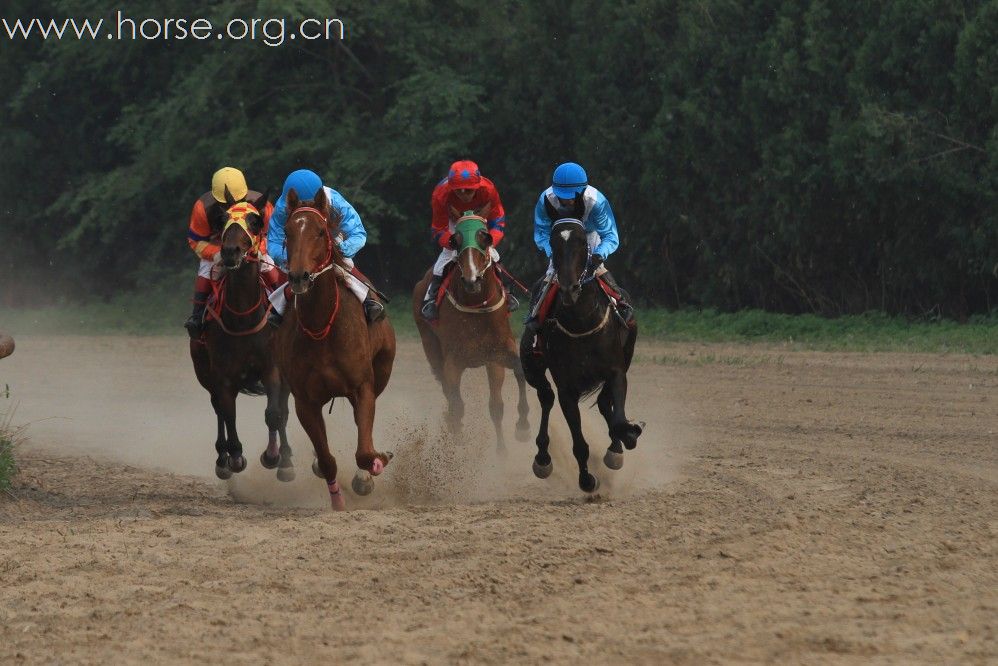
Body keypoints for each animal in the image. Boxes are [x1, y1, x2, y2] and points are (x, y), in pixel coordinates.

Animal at [189, 195, 294, 480]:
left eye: (255, 221)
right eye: (223, 219)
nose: (230, 252)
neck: (243, 316)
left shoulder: (272, 368)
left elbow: (274, 413)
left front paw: (276, 458)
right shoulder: (223, 375)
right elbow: (229, 413)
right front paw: (234, 456)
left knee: (282, 409)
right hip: (204, 371)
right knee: (218, 408)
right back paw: (222, 458)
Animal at [276, 185, 400, 508]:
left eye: (321, 231)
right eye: (287, 231)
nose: (299, 276)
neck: (322, 329)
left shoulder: (363, 386)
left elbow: (365, 452)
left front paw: (376, 463)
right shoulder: (305, 401)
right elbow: (327, 459)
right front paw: (337, 502)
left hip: (382, 371)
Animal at [412, 213, 532, 452]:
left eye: (484, 239)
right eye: (456, 241)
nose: (472, 280)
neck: (476, 306)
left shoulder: (497, 353)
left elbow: (503, 396)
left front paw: (518, 432)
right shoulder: (453, 362)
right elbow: (457, 405)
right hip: (430, 346)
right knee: (448, 392)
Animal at [520, 195, 644, 490]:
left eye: (580, 241)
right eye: (553, 242)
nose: (569, 288)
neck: (582, 321)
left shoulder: (616, 371)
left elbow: (617, 417)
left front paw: (626, 438)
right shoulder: (567, 387)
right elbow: (578, 442)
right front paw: (587, 479)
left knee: (603, 403)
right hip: (531, 366)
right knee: (545, 397)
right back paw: (543, 458)